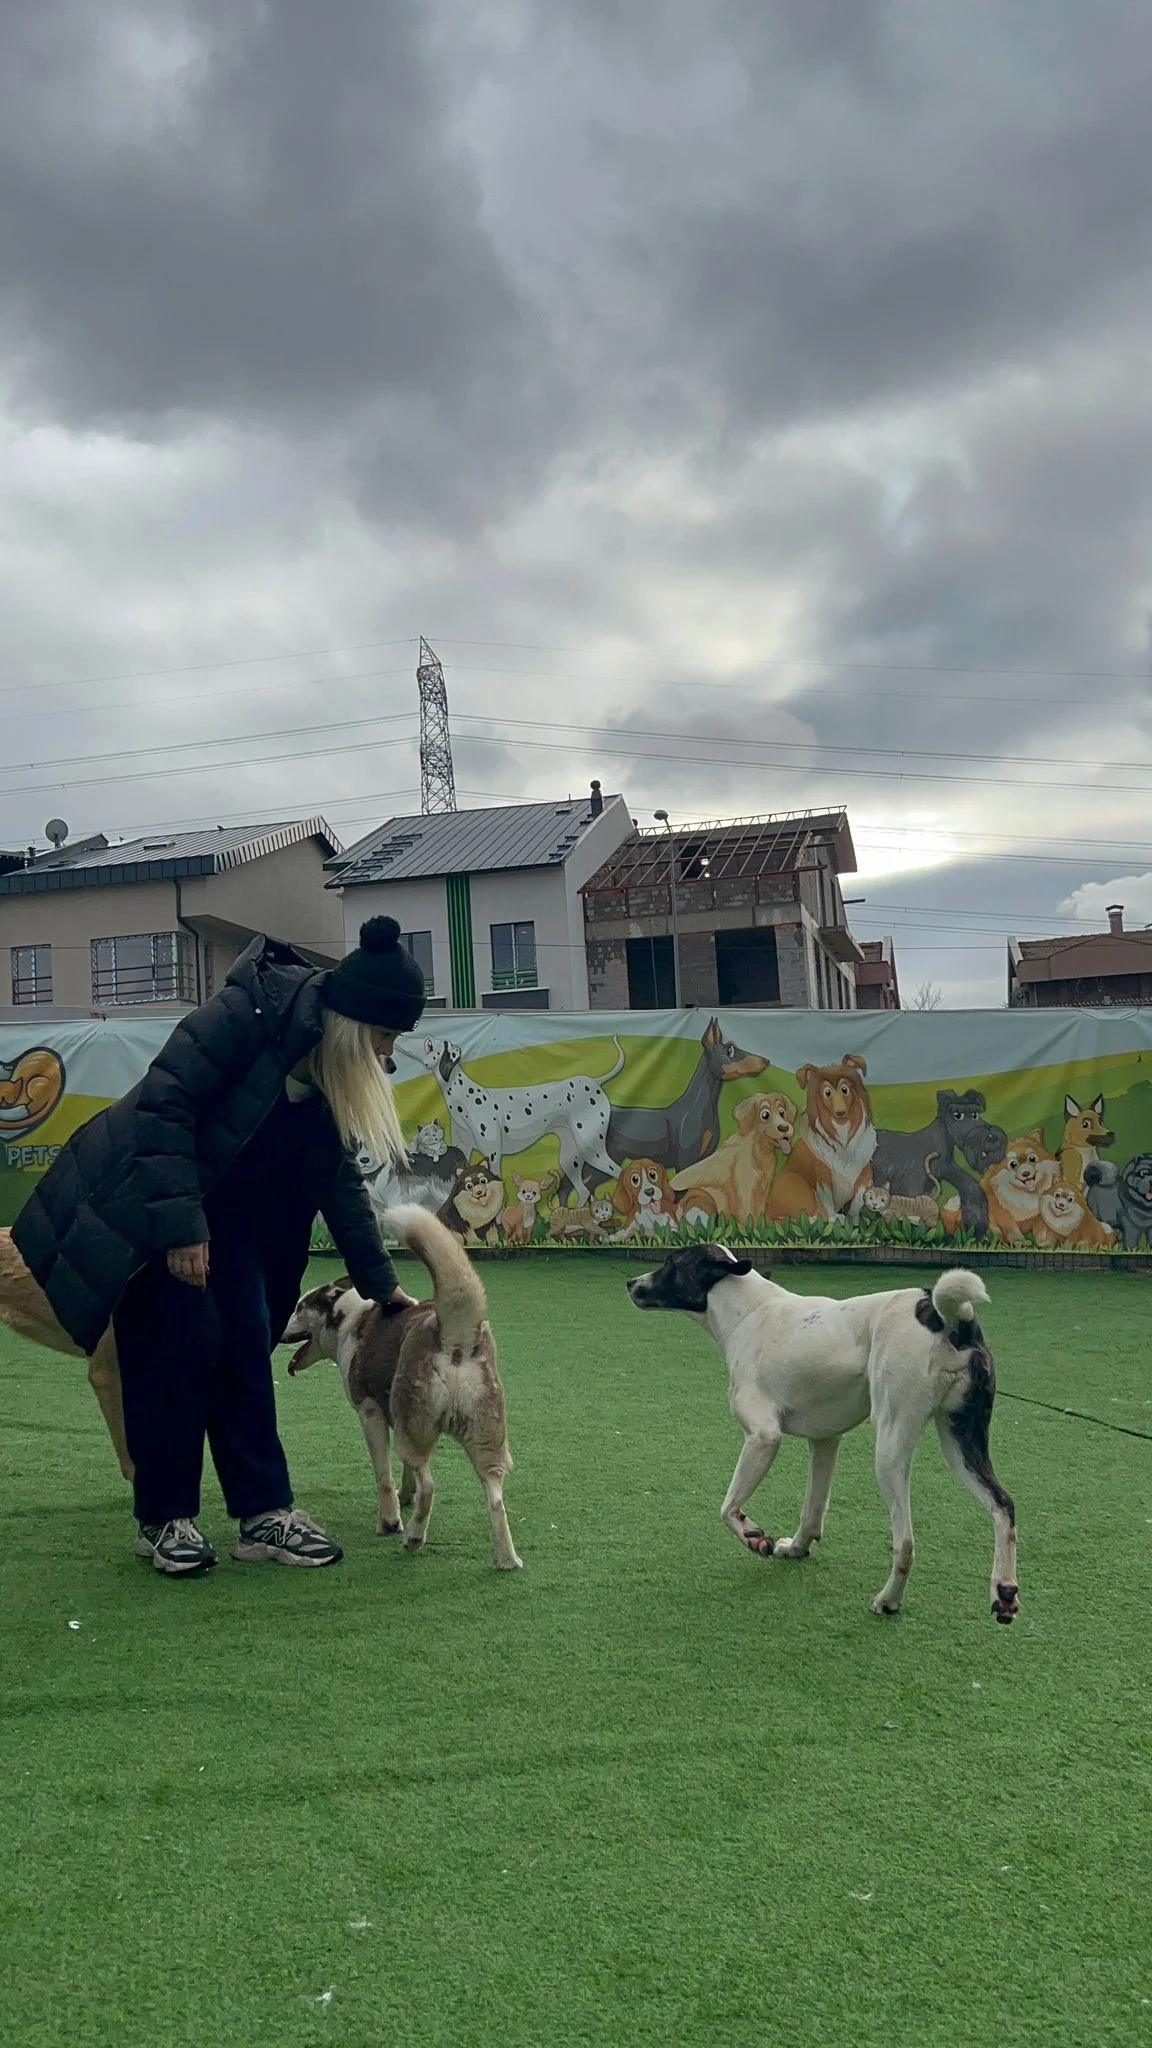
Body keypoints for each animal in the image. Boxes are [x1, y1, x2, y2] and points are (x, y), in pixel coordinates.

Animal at [282, 1206, 521, 1569]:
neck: (349, 1318)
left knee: (430, 1486)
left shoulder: (371, 1415)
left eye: (298, 1307)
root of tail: (453, 1337)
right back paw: (507, 1560)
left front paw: (391, 1519)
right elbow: (406, 1476)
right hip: (483, 1438)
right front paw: (404, 1498)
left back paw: (412, 1537)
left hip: (416, 1433)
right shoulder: (398, 1419)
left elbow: (384, 1476)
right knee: (494, 1498)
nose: (278, 1329)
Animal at [407, 1035, 625, 1204]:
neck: (464, 1096)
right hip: (570, 1158)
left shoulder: (492, 1157)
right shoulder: (463, 1153)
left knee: (622, 1174)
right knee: (584, 1192)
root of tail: (594, 1081)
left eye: (428, 1044)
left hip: (593, 1150)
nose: (403, 1039)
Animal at [627, 1244, 1018, 1624]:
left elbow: (728, 1507)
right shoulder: (825, 1440)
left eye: (671, 1262)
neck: (749, 1312)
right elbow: (812, 1508)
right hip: (960, 1442)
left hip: (891, 1446)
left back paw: (888, 1600)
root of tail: (944, 1317)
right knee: (1002, 1505)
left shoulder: (763, 1437)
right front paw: (797, 1548)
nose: (631, 1283)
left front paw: (754, 1537)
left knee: (905, 1542)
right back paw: (1004, 1592)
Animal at [671, 1091, 796, 1222]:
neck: (759, 1150)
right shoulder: (745, 1190)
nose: (784, 1127)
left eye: (782, 1112)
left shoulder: (763, 1190)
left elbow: (759, 1213)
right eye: (765, 1115)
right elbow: (748, 1214)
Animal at [767, 1054, 876, 1221]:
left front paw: (855, 1220)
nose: (840, 1112)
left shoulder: (865, 1172)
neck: (842, 1136)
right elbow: (826, 1203)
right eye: (827, 1092)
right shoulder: (823, 1177)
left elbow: (857, 1201)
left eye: (844, 1089)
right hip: (789, 1181)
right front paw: (836, 1219)